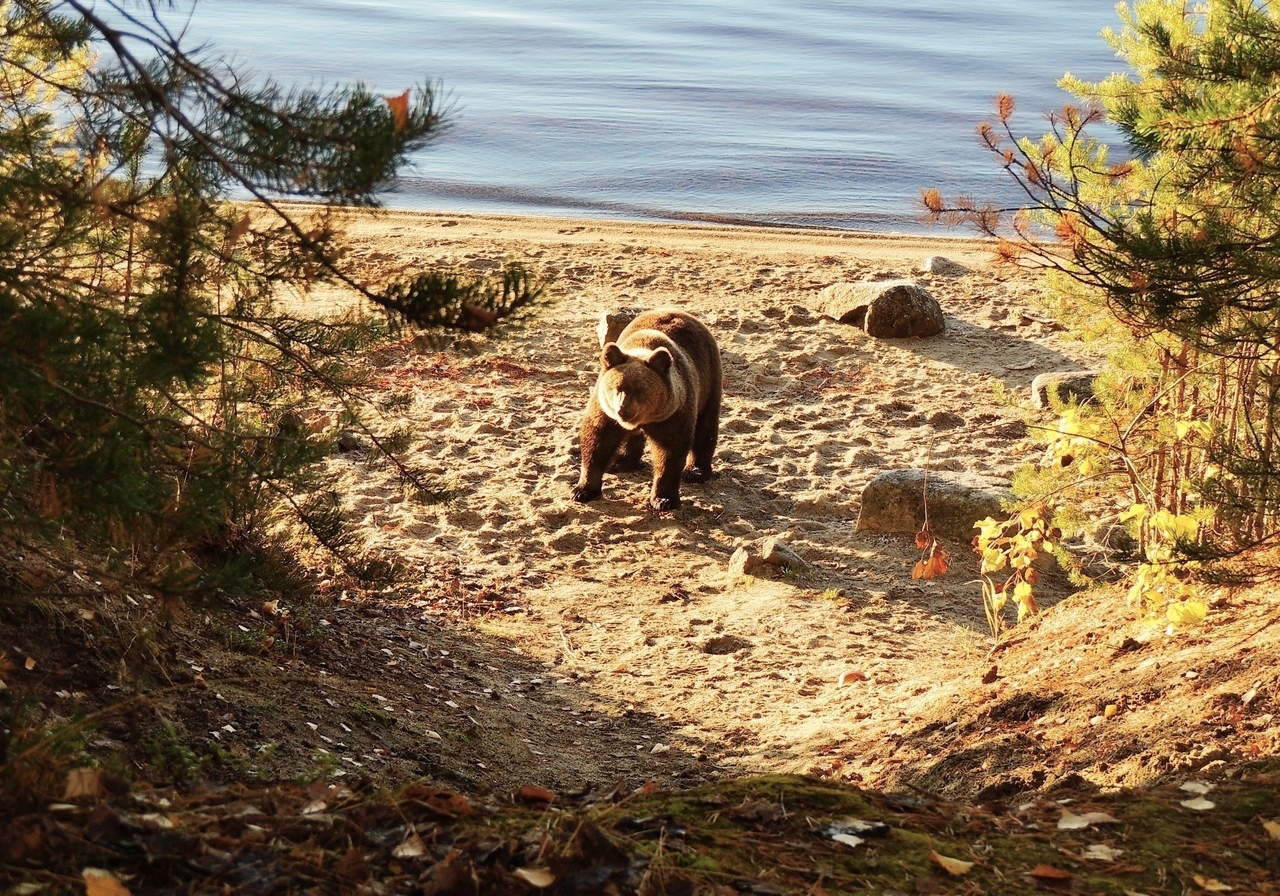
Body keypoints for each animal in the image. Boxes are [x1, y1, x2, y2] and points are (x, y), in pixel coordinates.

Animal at [570, 309, 721, 512]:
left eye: (640, 391)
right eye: (617, 388)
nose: (623, 410)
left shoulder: (673, 415)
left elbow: (670, 452)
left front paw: (664, 499)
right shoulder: (605, 412)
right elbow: (596, 441)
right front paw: (583, 490)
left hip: (709, 383)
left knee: (706, 427)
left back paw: (696, 472)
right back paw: (621, 461)